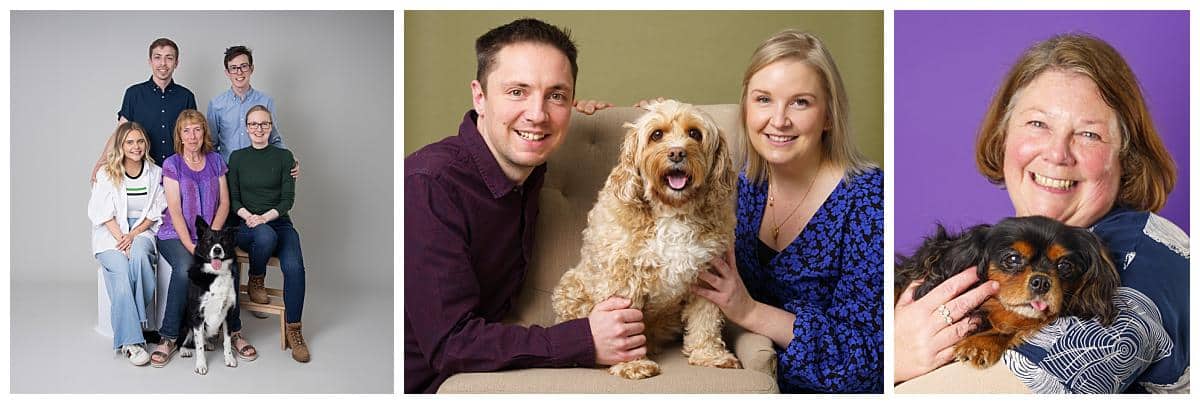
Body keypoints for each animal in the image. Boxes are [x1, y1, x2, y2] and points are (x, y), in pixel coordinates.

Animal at [178, 215, 240, 374]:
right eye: (208, 240)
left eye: (224, 241)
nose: (217, 250)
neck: (215, 274)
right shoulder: (197, 314)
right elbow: (198, 346)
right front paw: (201, 365)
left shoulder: (228, 314)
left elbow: (227, 340)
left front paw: (229, 358)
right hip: (186, 321)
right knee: (183, 341)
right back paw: (184, 350)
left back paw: (208, 344)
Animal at [552, 100, 739, 378]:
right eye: (657, 135)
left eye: (695, 133)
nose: (676, 153)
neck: (673, 212)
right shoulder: (623, 279)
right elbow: (625, 330)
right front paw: (632, 365)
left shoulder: (707, 276)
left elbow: (706, 320)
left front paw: (710, 355)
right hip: (571, 288)